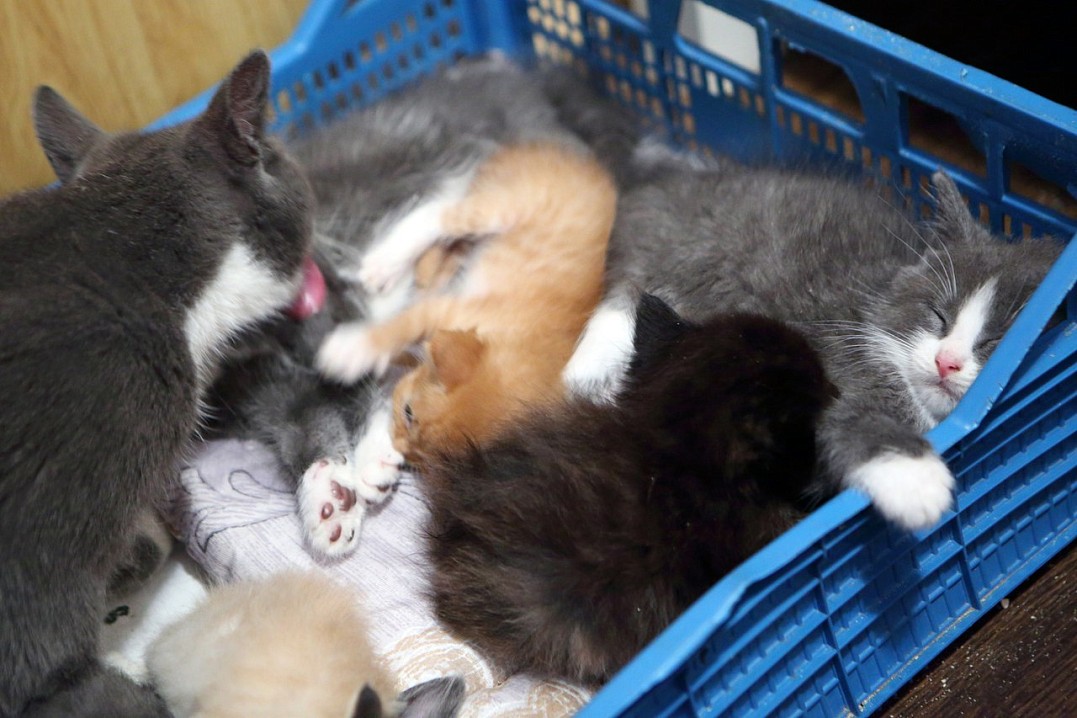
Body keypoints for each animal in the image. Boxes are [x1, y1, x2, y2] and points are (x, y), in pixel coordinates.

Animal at [316, 141, 617, 467]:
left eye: (423, 459)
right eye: (407, 412)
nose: (399, 450)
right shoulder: (447, 311)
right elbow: (401, 326)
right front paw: (351, 352)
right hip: (508, 205)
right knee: (438, 212)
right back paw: (385, 263)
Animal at [564, 157, 1064, 531]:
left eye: (993, 341)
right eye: (938, 314)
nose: (947, 362)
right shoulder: (824, 345)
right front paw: (916, 480)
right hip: (664, 248)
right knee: (624, 295)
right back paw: (587, 376)